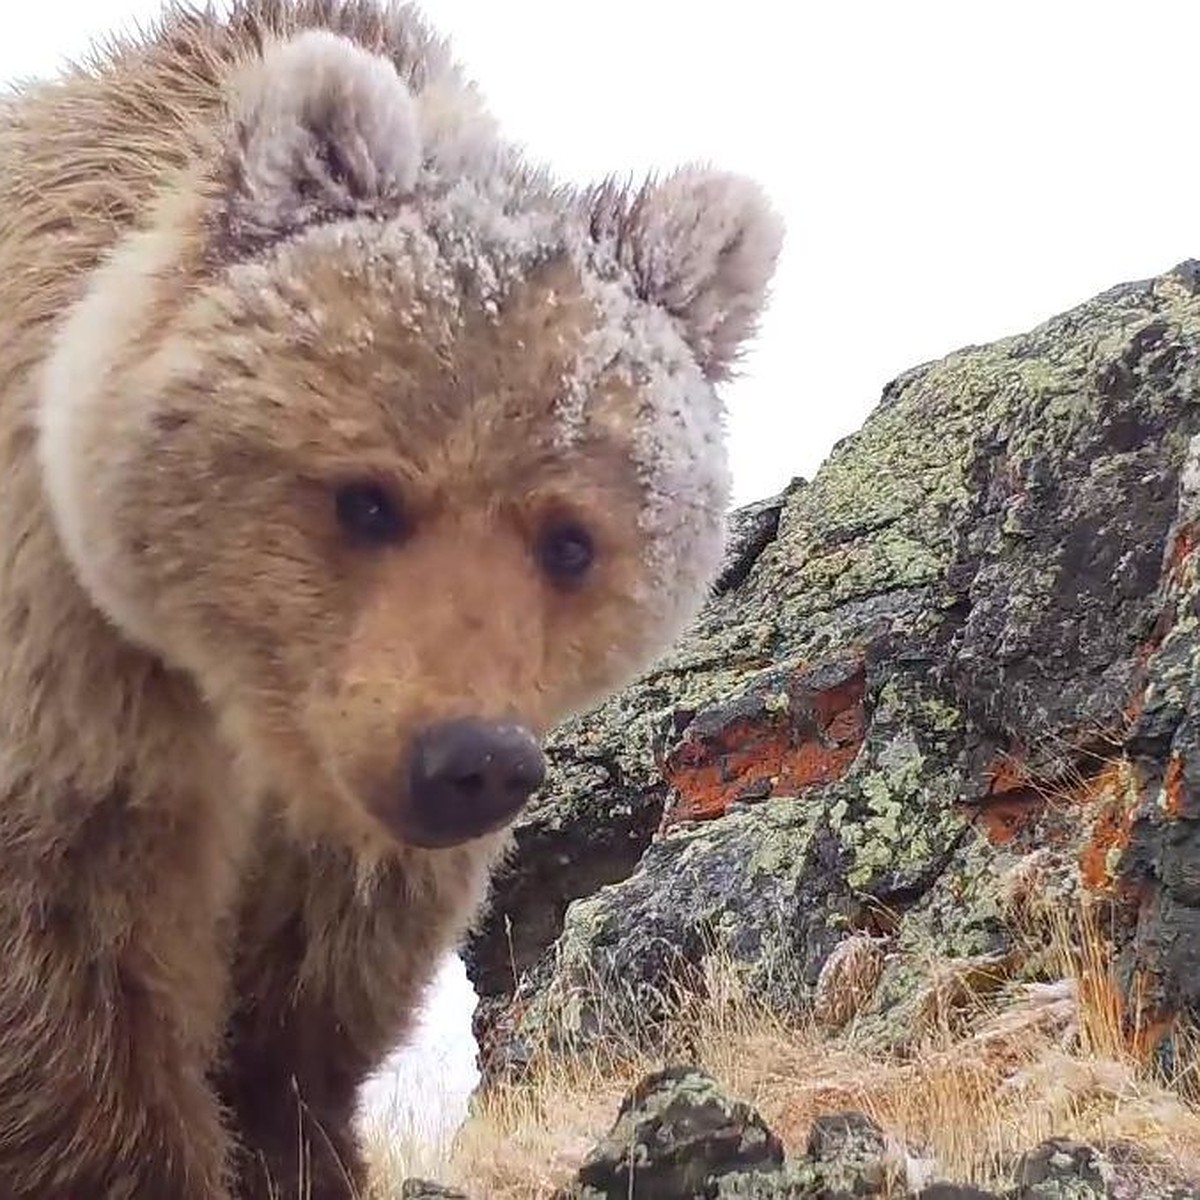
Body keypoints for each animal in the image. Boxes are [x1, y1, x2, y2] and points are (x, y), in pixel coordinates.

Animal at [0, 2, 777, 1200]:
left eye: (570, 540)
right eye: (368, 498)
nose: (470, 760)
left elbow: (316, 991)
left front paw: (297, 1140)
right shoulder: (77, 682)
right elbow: (84, 968)